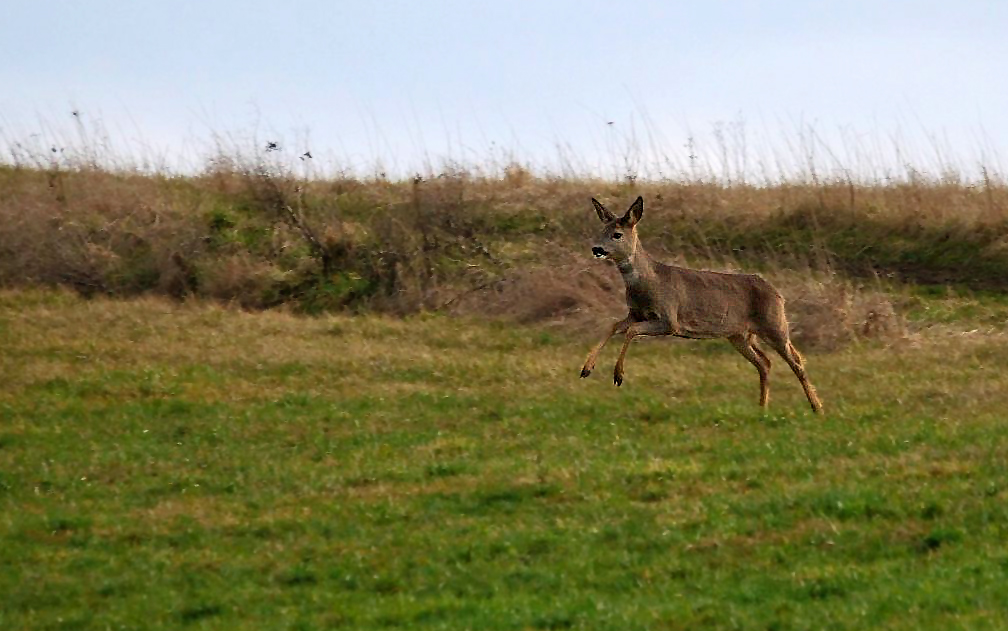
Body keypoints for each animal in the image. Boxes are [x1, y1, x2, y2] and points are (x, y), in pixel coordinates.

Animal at [580, 196, 822, 413]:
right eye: (600, 231)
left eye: (617, 235)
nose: (596, 249)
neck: (649, 281)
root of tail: (778, 294)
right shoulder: (635, 313)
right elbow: (614, 326)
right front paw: (586, 369)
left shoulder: (669, 319)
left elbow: (631, 331)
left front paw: (618, 375)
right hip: (739, 335)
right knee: (764, 362)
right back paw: (762, 407)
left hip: (773, 323)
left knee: (796, 361)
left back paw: (816, 407)